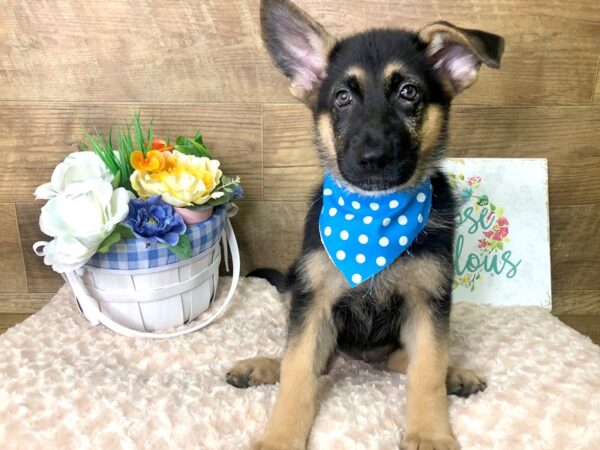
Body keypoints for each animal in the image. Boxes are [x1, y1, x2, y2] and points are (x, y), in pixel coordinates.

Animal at [227, 1, 504, 448]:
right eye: (342, 98)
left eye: (409, 92)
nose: (374, 159)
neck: (375, 218)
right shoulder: (314, 303)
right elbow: (298, 373)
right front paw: (280, 437)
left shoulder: (428, 303)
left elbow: (427, 371)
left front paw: (430, 432)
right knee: (312, 362)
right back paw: (262, 366)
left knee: (404, 360)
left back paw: (454, 375)